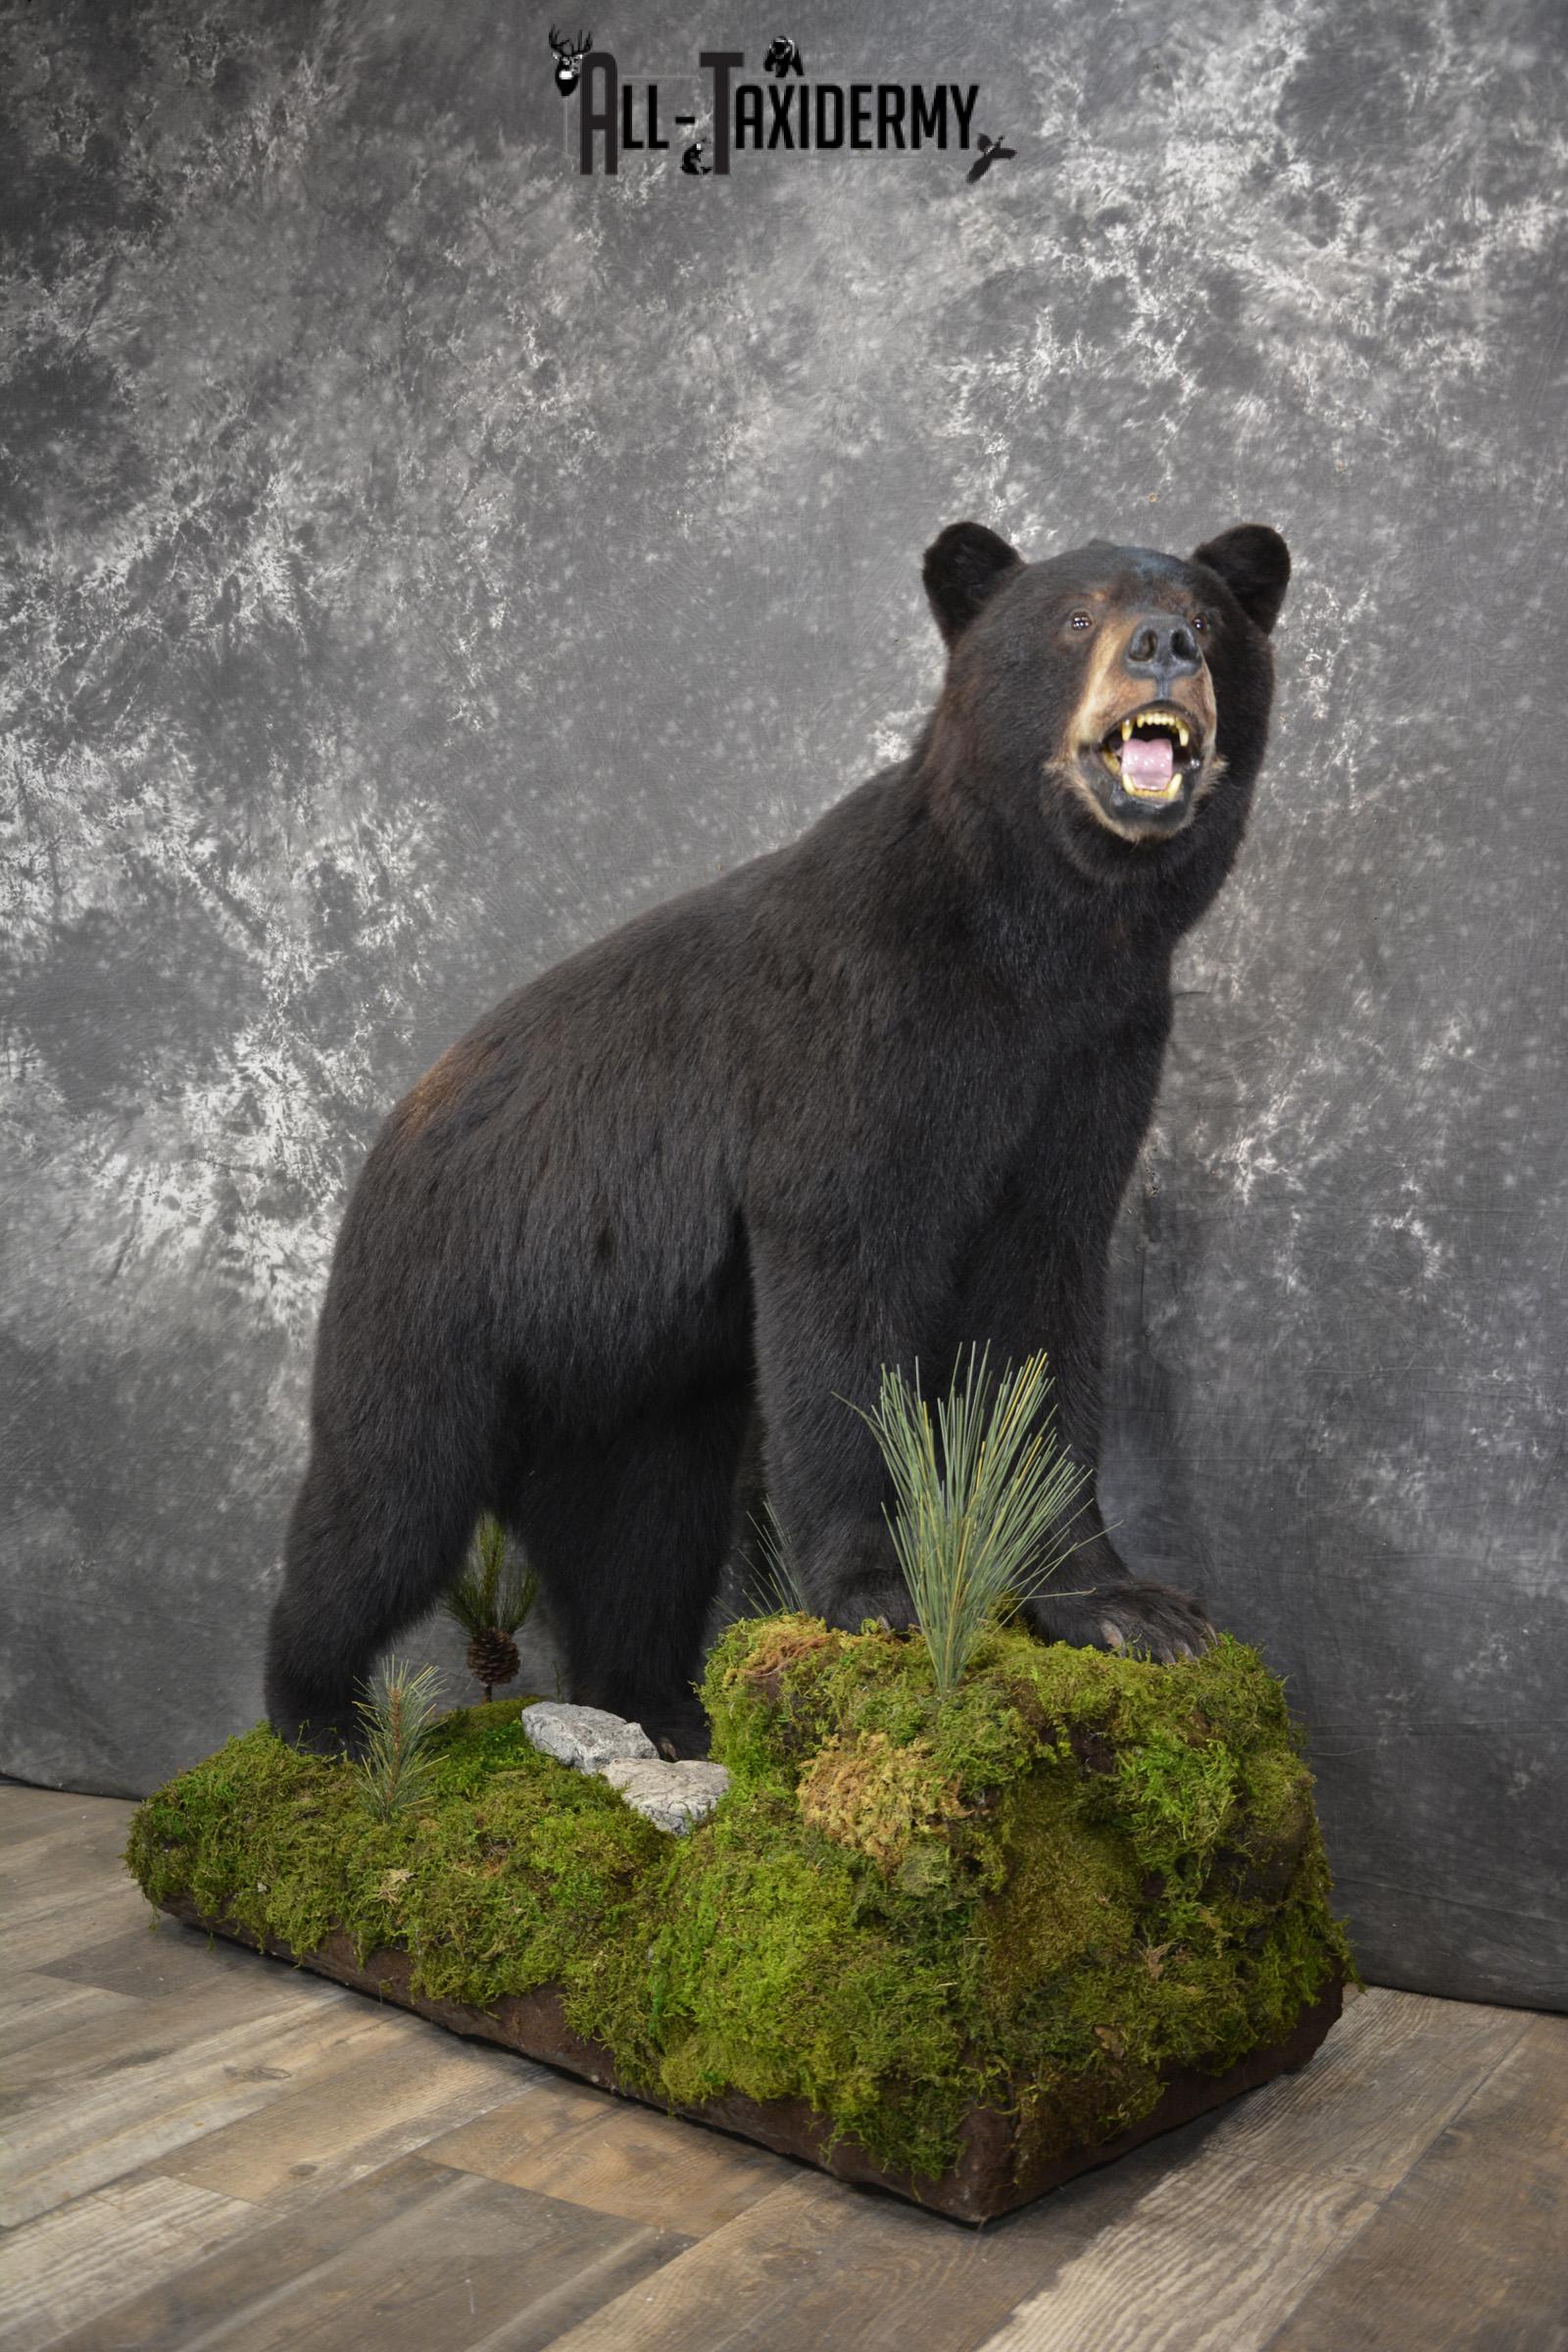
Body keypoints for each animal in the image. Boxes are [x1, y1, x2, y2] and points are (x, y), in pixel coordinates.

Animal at [264, 516, 1291, 1759]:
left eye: (1207, 614)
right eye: (1075, 617)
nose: (1162, 646)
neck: (1038, 940)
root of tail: (389, 1136)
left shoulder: (1095, 1062)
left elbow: (1042, 1318)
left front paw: (1130, 1606)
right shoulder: (852, 1045)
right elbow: (838, 1302)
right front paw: (877, 1593)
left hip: (631, 1393)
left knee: (641, 1543)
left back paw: (659, 1712)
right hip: (440, 1301)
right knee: (384, 1505)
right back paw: (321, 1714)